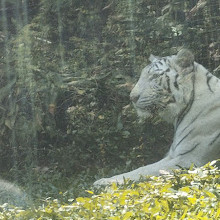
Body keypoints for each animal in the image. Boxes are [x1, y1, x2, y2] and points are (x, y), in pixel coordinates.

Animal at [93, 49, 220, 186]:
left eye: (154, 77)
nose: (132, 97)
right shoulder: (172, 155)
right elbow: (144, 167)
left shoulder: (189, 159)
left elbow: (145, 171)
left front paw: (103, 182)